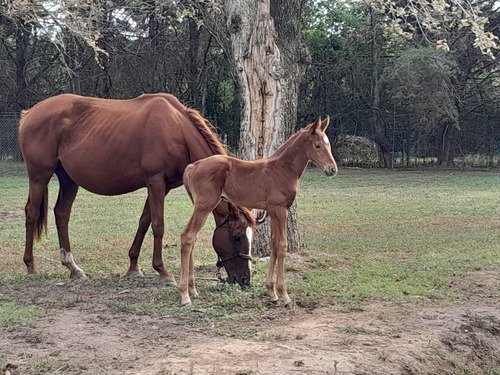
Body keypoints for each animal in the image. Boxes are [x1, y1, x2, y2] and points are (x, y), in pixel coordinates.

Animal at [18, 92, 254, 286]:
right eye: (237, 237)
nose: (245, 280)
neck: (177, 129)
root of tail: (28, 114)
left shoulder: (162, 187)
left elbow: (144, 222)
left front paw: (134, 266)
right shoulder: (156, 181)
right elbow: (158, 225)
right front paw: (163, 271)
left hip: (68, 180)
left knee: (61, 214)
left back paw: (73, 268)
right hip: (40, 176)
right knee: (31, 213)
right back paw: (31, 266)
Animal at [178, 118, 338, 308]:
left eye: (328, 145)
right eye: (317, 145)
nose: (332, 169)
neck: (282, 169)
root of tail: (193, 166)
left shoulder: (273, 211)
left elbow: (274, 244)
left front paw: (272, 292)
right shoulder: (280, 210)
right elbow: (282, 245)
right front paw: (284, 295)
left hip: (200, 206)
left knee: (192, 238)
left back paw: (193, 289)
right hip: (204, 205)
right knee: (187, 236)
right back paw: (185, 295)